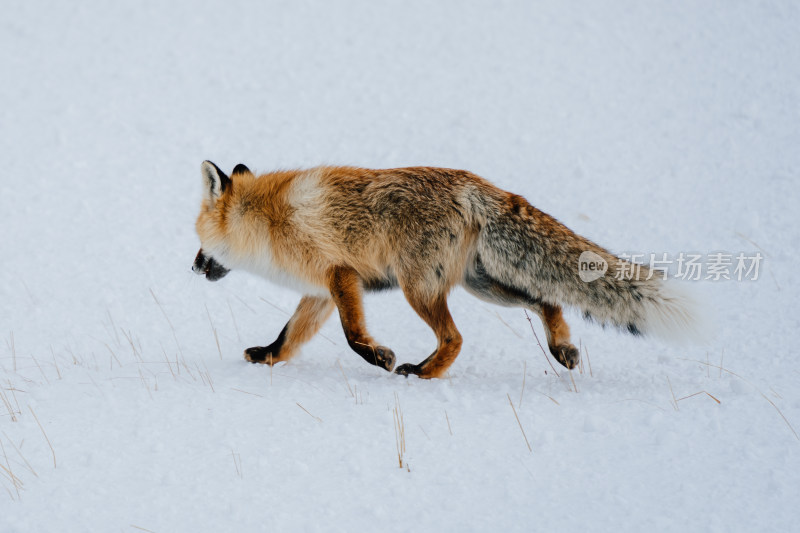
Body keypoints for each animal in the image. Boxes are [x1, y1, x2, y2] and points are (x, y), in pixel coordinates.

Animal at [192, 160, 700, 376]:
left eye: (198, 241)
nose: (193, 267)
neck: (268, 220)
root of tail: (474, 184)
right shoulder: (320, 291)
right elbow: (287, 336)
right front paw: (266, 357)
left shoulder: (340, 276)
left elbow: (354, 336)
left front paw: (380, 358)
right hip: (483, 284)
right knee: (547, 299)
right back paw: (562, 348)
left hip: (419, 288)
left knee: (455, 338)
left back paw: (423, 372)